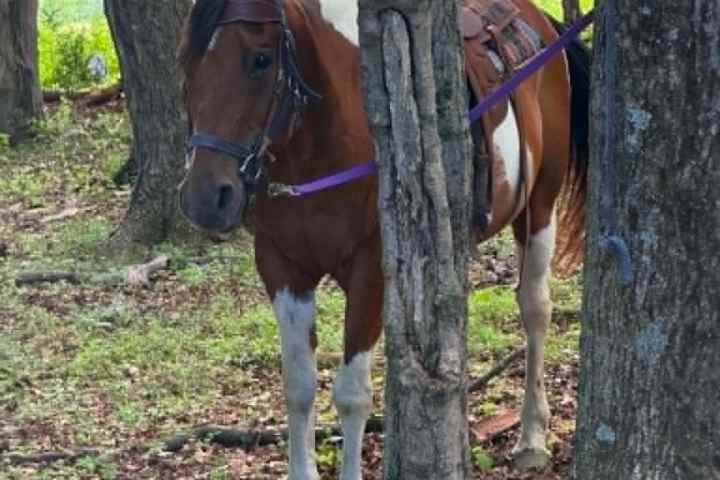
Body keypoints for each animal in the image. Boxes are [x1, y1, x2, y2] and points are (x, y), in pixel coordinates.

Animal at [177, 0, 590, 477]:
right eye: (185, 62)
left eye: (260, 60)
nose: (206, 198)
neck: (323, 146)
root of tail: (540, 21)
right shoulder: (282, 267)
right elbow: (298, 387)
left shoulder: (370, 270)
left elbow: (351, 395)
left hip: (539, 205)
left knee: (535, 307)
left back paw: (531, 437)